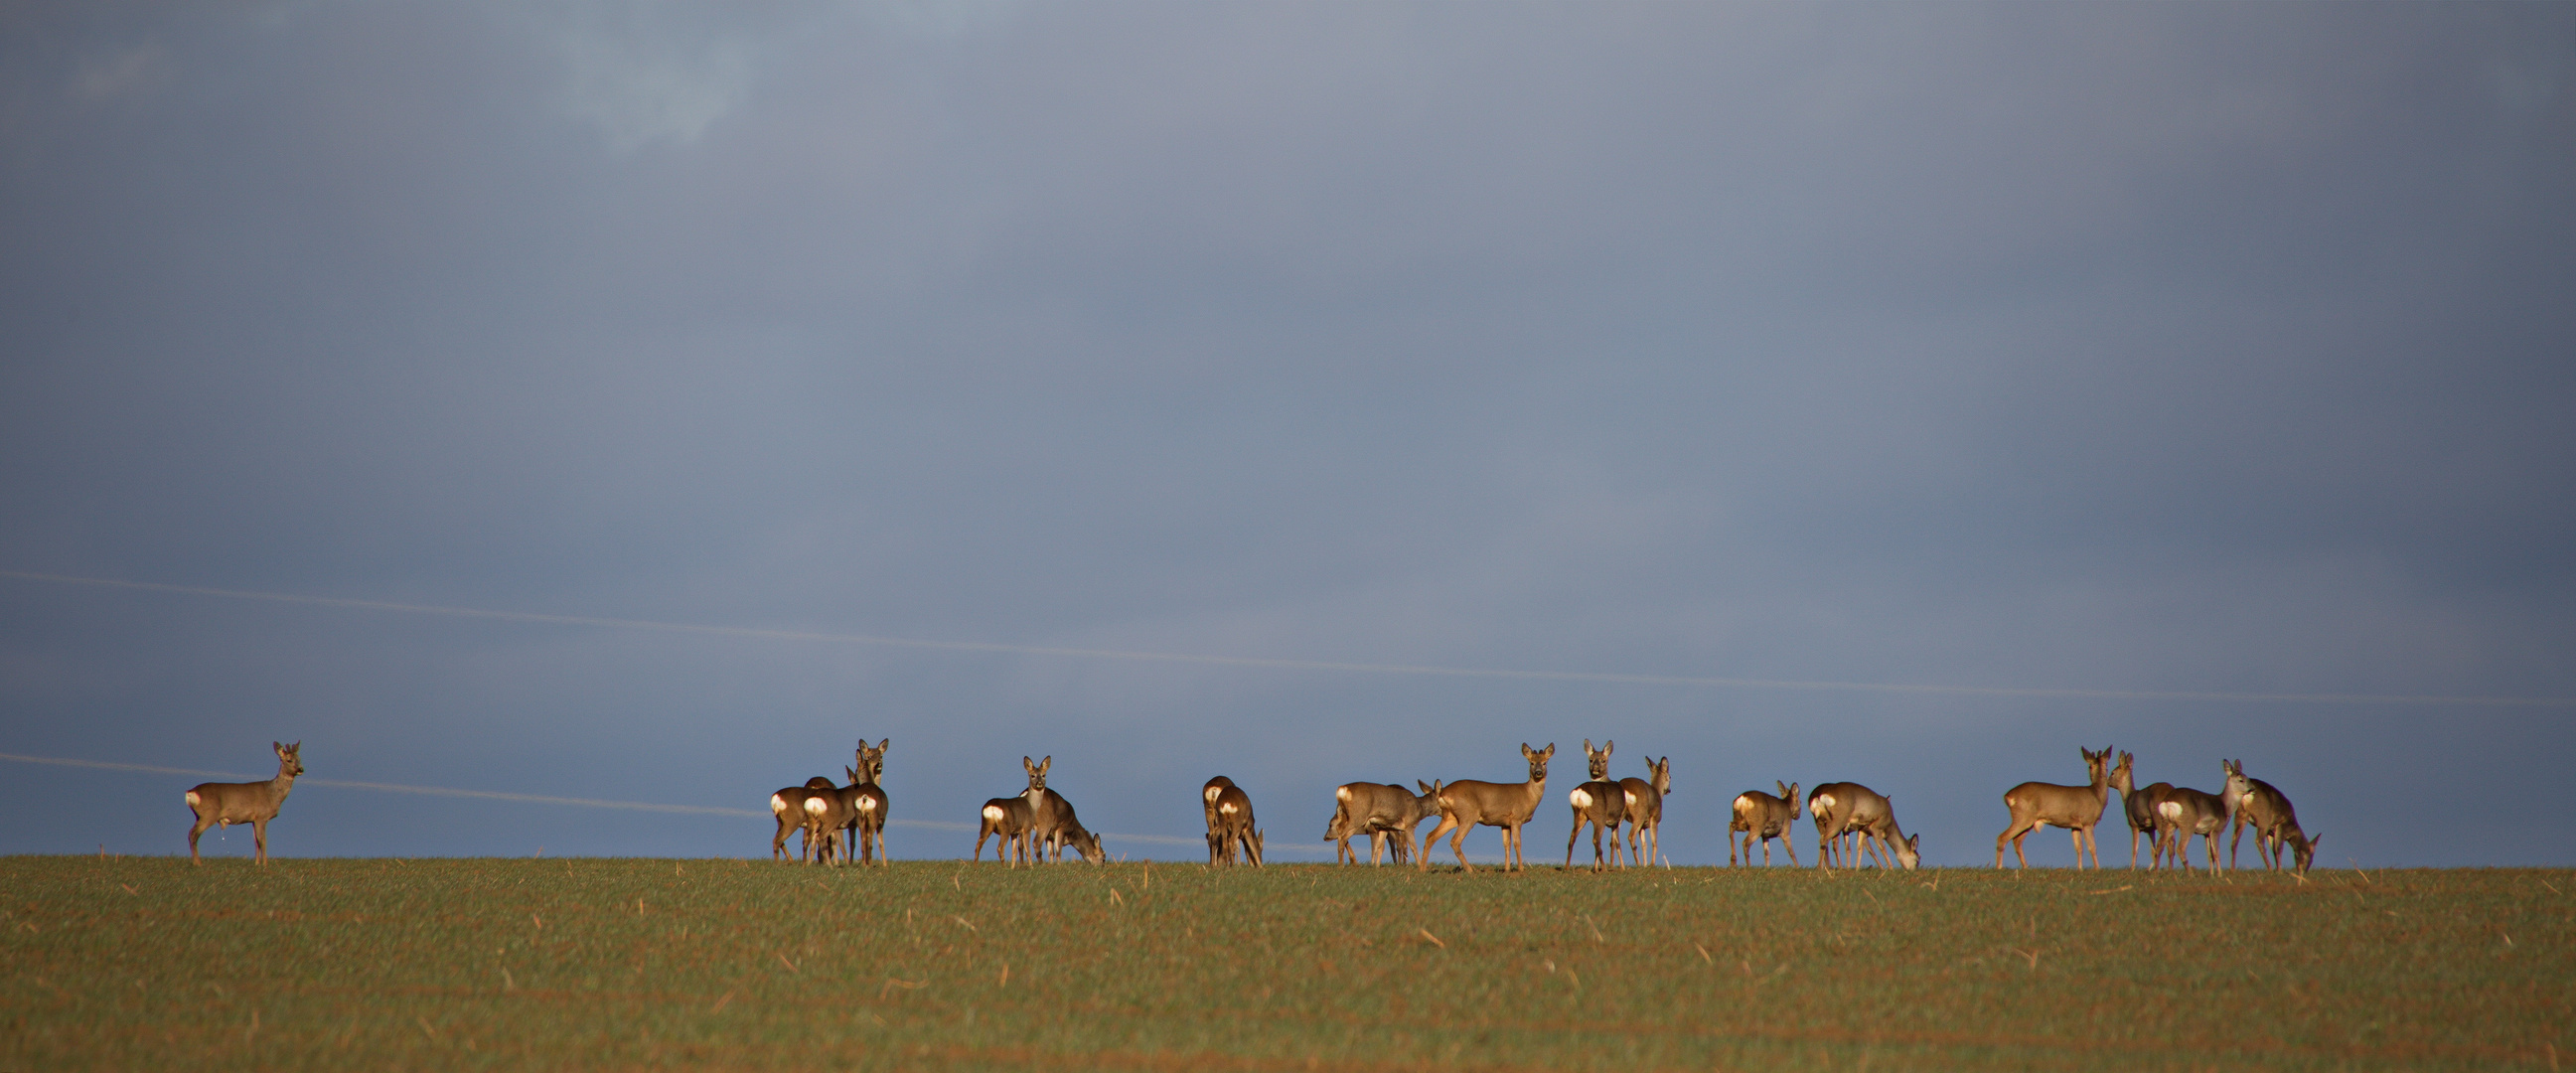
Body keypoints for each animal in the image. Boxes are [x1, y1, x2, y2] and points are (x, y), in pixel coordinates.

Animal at [1422, 740, 1556, 874]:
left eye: (1544, 762)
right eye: (1531, 762)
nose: (1538, 772)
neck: (1529, 795)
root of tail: (1443, 793)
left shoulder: (1504, 823)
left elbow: (1506, 844)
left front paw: (1507, 870)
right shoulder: (1516, 818)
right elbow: (1517, 843)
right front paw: (1521, 870)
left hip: (1450, 817)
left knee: (1430, 836)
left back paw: (1422, 869)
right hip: (1469, 815)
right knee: (1455, 841)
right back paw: (1471, 870)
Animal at [1556, 735, 1617, 869]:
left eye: (1603, 760)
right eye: (1590, 759)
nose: (1595, 769)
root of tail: (1579, 793)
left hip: (1578, 814)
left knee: (1572, 838)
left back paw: (1567, 867)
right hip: (1598, 818)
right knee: (1596, 840)